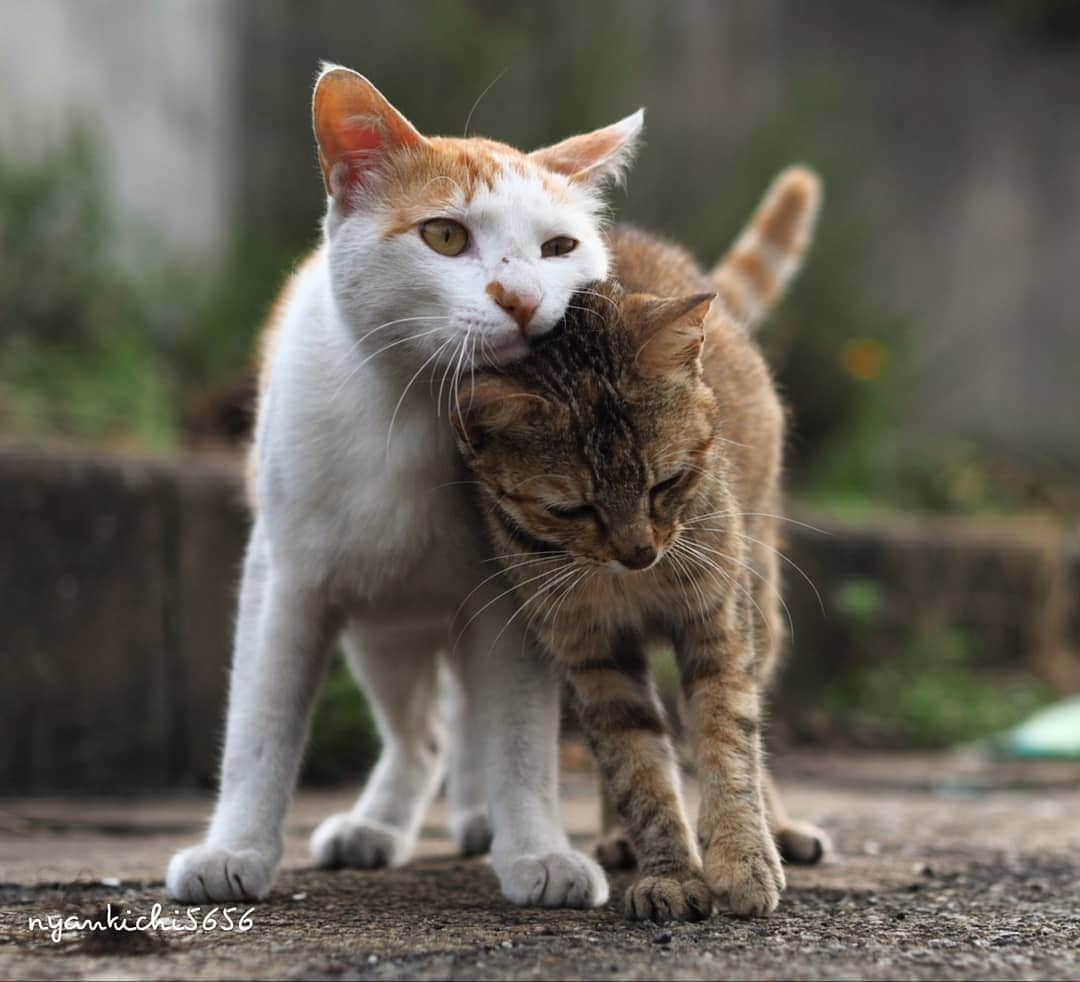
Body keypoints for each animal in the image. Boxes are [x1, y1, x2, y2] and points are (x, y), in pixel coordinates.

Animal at [164, 65, 643, 907]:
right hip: (381, 628)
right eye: (444, 236)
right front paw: (234, 851)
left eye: (560, 248)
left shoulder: (519, 592)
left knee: (468, 721)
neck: (420, 416)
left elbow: (520, 737)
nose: (522, 299)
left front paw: (537, 852)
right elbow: (260, 727)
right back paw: (376, 828)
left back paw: (480, 819)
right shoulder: (285, 580)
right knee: (421, 735)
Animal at [451, 166, 820, 920]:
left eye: (666, 482)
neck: (635, 585)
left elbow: (727, 741)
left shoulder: (717, 625)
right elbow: (637, 766)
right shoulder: (591, 651)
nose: (639, 553)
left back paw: (782, 827)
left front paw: (742, 857)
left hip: (761, 604)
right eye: (572, 508)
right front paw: (671, 870)